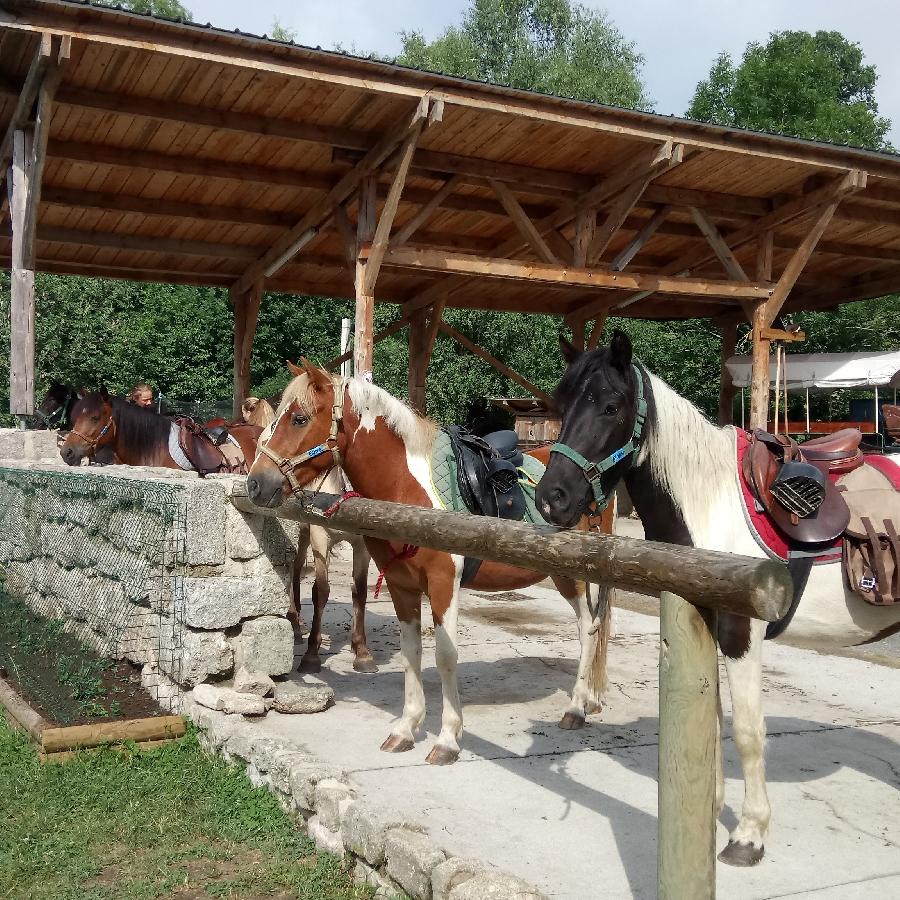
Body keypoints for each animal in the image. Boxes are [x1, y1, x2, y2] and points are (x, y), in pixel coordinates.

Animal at [246, 360, 612, 768]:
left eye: (299, 418)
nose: (255, 484)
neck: (406, 490)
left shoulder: (442, 583)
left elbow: (445, 656)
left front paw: (448, 740)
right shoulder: (401, 585)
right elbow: (411, 653)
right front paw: (405, 729)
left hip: (573, 575)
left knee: (588, 628)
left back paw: (576, 708)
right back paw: (588, 701)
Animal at [536, 330, 900, 864]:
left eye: (610, 406)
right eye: (562, 405)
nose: (552, 499)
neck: (709, 500)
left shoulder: (740, 633)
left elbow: (748, 732)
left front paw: (749, 834)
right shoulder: (704, 625)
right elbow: (711, 723)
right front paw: (708, 811)